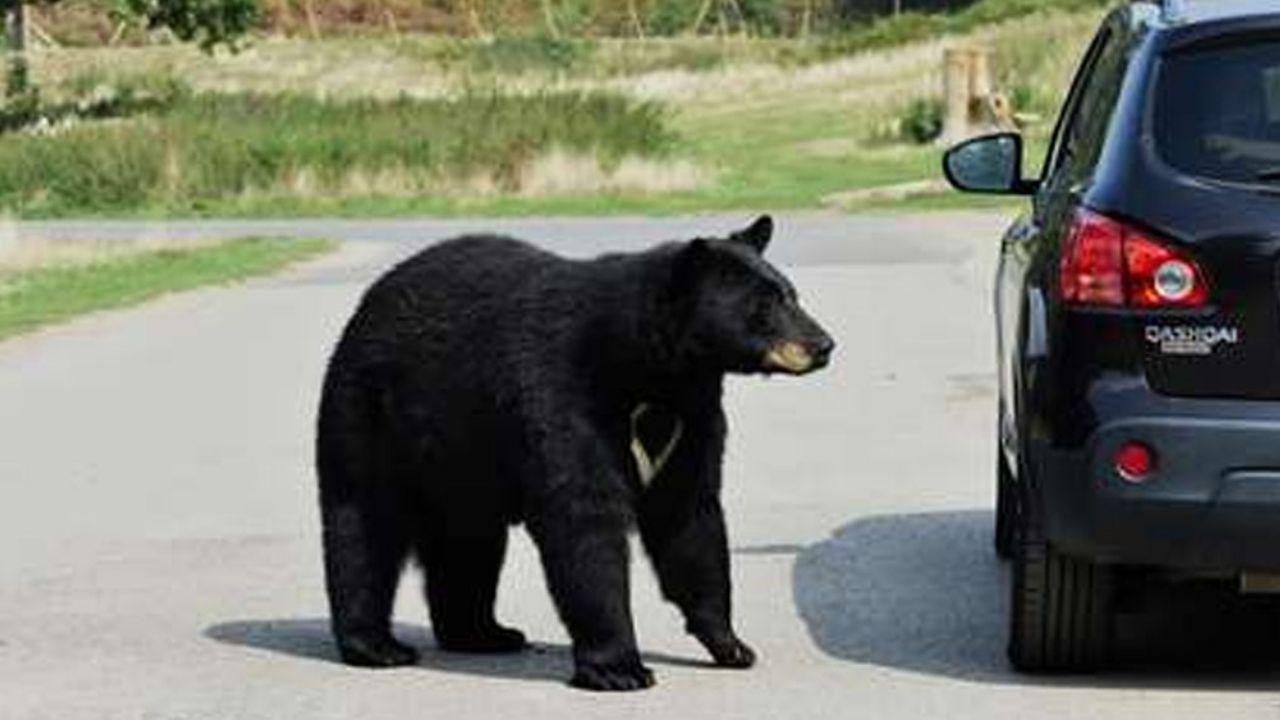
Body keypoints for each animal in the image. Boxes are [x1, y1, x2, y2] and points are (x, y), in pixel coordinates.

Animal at [315, 216, 834, 691]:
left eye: (792, 294)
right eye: (763, 305)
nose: (823, 345)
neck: (649, 369)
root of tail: (369, 300)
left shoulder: (692, 416)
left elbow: (689, 516)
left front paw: (730, 644)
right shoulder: (563, 395)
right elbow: (583, 518)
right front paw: (620, 668)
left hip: (462, 457)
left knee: (469, 542)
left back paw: (484, 633)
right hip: (368, 414)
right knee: (363, 525)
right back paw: (376, 646)